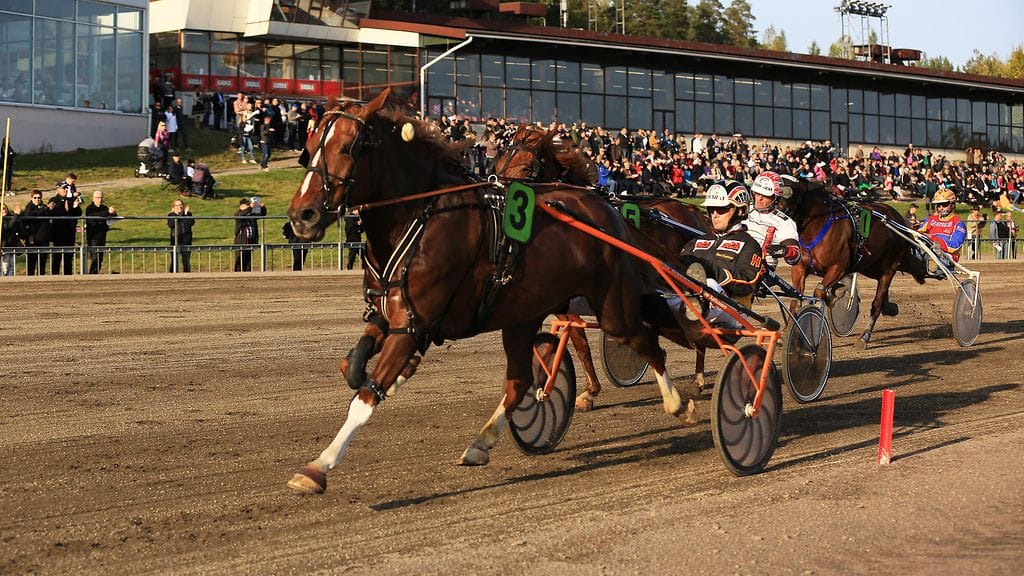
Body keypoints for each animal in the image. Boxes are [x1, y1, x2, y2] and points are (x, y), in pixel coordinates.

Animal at [492, 125, 715, 410]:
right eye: (499, 162)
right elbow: (579, 341)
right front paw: (583, 390)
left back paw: (698, 378)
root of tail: (692, 212)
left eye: (525, 167)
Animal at [786, 181, 927, 346]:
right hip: (872, 267)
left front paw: (833, 297)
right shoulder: (800, 268)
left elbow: (820, 291)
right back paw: (890, 307)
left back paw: (865, 335)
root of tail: (899, 220)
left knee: (878, 302)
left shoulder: (839, 267)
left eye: (785, 193)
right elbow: (796, 299)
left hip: (891, 265)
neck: (818, 224)